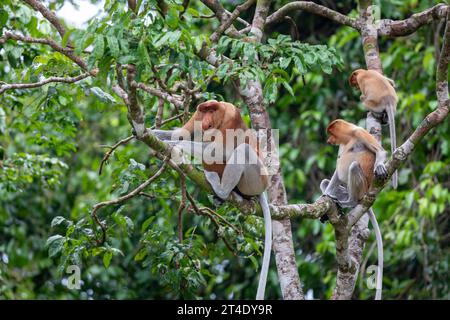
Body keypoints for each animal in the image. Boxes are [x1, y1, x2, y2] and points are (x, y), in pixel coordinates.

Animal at [322, 119, 388, 300]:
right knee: (325, 182)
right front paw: (326, 196)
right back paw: (335, 203)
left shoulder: (360, 133)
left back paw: (348, 202)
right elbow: (337, 171)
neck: (349, 137)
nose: (329, 141)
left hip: (361, 189)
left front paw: (380, 165)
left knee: (353, 167)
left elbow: (380, 151)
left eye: (331, 133)